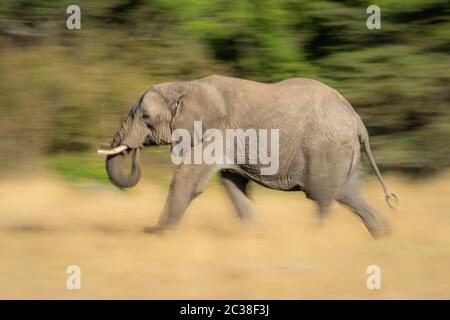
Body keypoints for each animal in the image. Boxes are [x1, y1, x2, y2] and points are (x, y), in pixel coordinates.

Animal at [98, 75, 398, 238]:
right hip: (343, 152)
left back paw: (317, 239)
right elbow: (233, 185)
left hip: (326, 149)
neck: (186, 85)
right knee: (349, 194)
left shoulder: (215, 133)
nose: (134, 150)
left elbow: (187, 180)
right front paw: (256, 238)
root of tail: (358, 122)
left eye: (145, 117)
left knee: (323, 197)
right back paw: (382, 236)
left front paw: (159, 235)